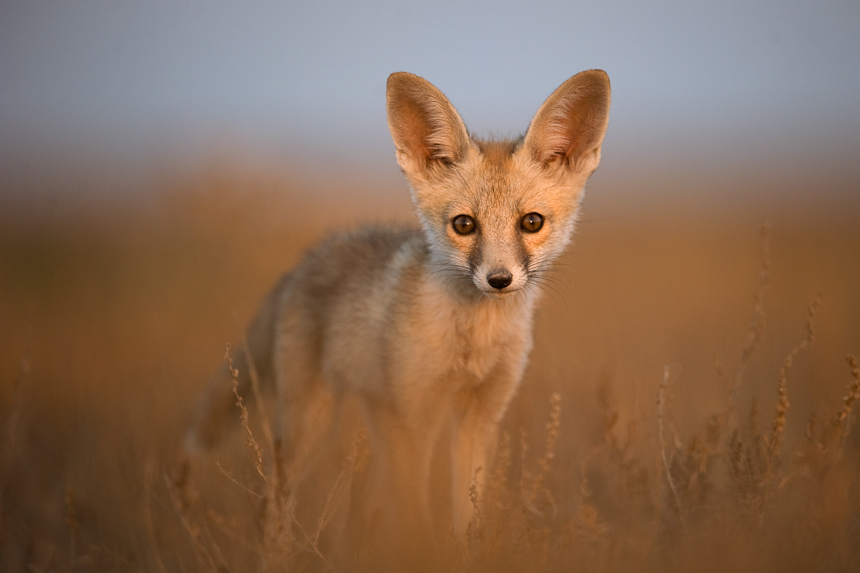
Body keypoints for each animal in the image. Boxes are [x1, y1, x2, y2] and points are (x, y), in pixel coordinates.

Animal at [186, 70, 612, 544]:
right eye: (464, 225)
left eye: (531, 222)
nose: (499, 279)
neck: (472, 342)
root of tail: (307, 258)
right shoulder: (416, 419)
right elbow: (416, 518)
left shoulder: (480, 417)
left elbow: (467, 517)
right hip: (310, 424)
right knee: (273, 503)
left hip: (377, 416)